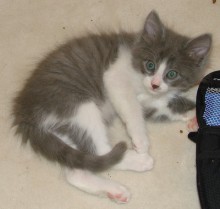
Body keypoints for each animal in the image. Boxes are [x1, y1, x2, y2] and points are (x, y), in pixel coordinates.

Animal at [12, 10, 211, 203]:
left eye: (171, 74)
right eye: (150, 65)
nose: (154, 84)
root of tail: (23, 113)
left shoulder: (154, 101)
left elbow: (168, 106)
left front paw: (195, 116)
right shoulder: (115, 77)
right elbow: (132, 109)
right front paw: (141, 141)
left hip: (65, 132)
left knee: (77, 168)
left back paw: (115, 191)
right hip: (77, 105)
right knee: (101, 150)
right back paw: (140, 160)